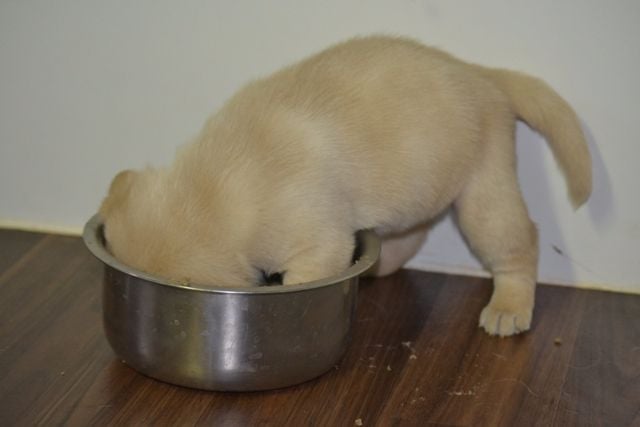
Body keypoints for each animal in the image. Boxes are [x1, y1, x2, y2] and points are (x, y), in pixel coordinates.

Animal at [100, 36, 592, 338]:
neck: (214, 188)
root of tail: (482, 74)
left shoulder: (318, 244)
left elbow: (308, 274)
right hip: (414, 190)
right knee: (413, 235)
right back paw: (381, 264)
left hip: (484, 195)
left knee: (519, 244)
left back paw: (509, 306)